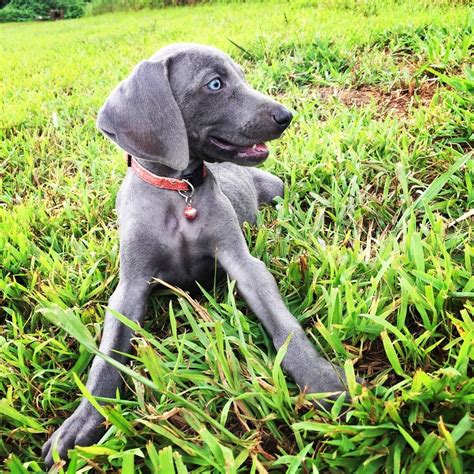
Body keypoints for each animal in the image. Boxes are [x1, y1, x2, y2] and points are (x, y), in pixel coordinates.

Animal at [42, 43, 346, 466]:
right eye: (215, 84)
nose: (286, 116)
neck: (178, 192)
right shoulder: (130, 286)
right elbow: (106, 358)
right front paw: (83, 422)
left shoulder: (244, 264)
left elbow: (284, 324)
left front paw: (321, 380)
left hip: (275, 188)